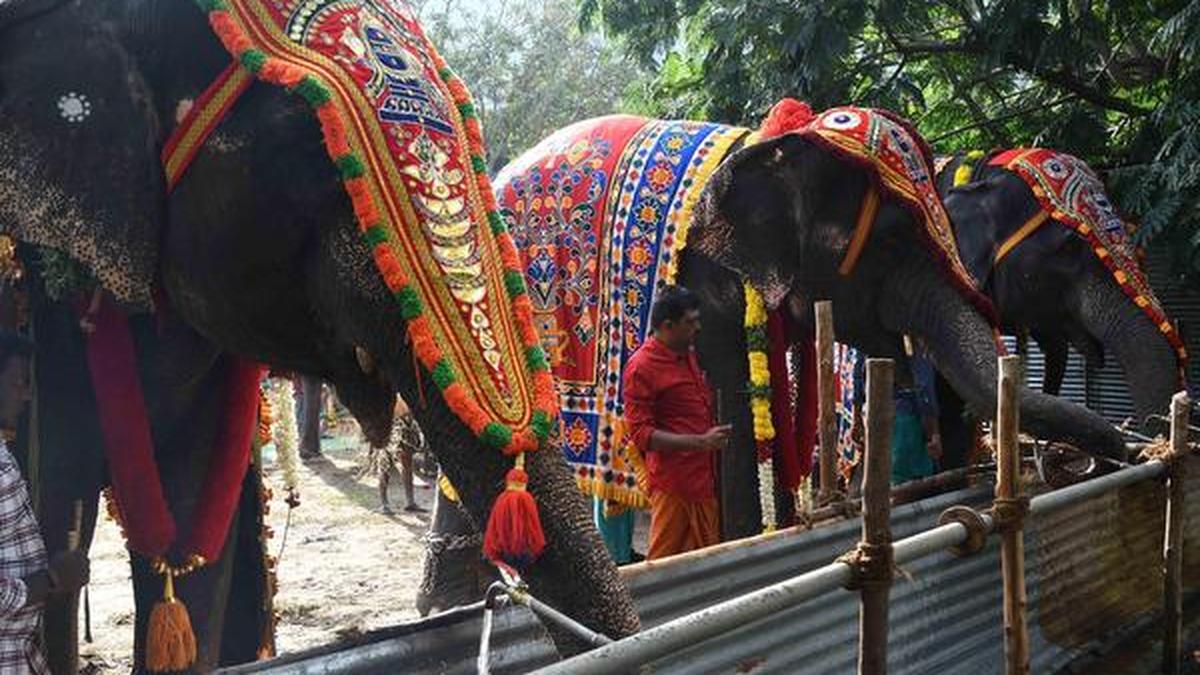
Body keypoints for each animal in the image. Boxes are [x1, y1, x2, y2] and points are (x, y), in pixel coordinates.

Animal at [415, 105, 1130, 612]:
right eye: (893, 238)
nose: (1119, 450)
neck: (776, 144)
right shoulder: (710, 288)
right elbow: (731, 419)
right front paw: (745, 556)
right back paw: (452, 603)